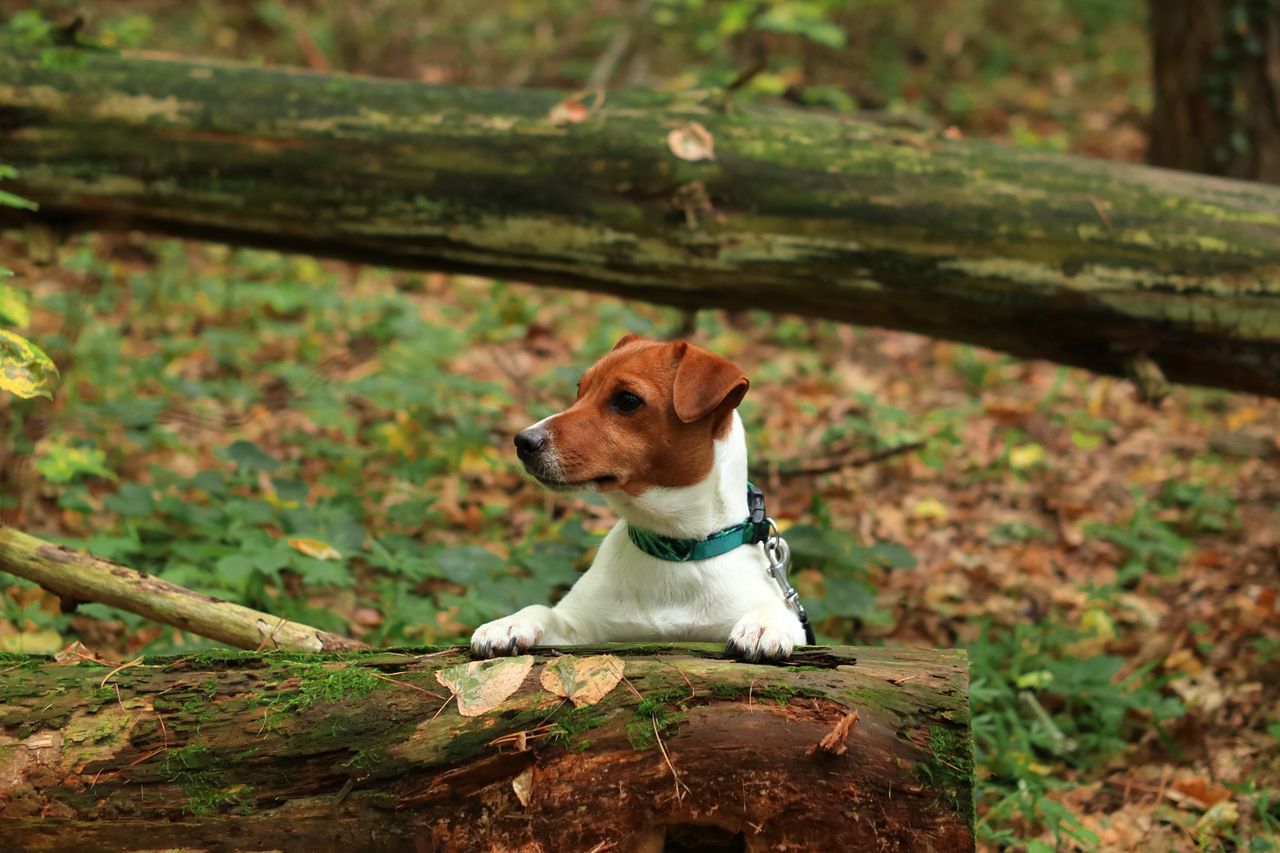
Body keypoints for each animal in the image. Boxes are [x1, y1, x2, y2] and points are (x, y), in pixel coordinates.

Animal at [476, 330, 803, 655]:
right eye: (581, 389)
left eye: (627, 400)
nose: (523, 441)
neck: (674, 548)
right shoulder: (579, 629)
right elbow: (543, 610)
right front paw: (509, 623)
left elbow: (780, 612)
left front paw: (766, 624)